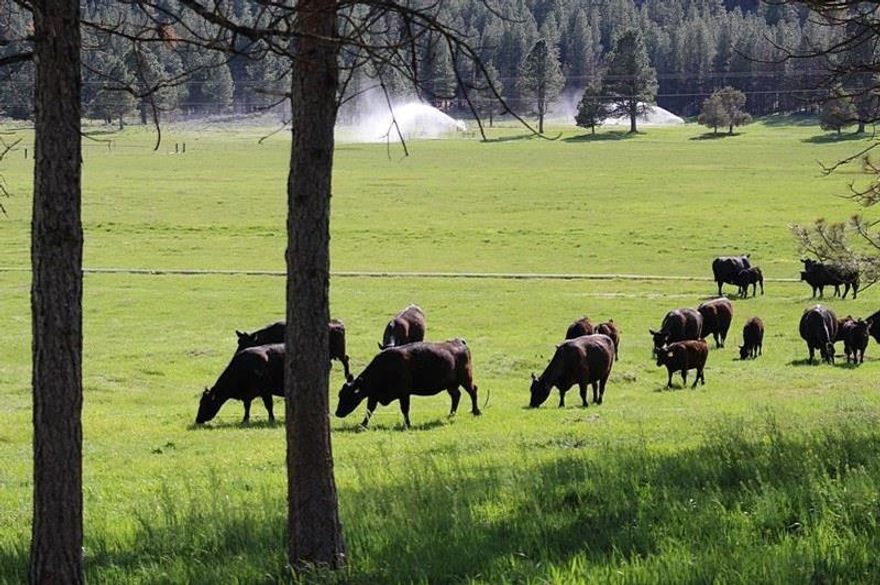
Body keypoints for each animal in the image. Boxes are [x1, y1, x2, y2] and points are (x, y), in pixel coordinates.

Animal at [336, 338, 479, 428]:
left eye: (349, 396)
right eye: (340, 395)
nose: (337, 413)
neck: (386, 367)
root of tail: (458, 341)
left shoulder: (404, 393)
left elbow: (405, 409)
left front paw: (408, 425)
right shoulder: (374, 395)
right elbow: (369, 410)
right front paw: (363, 424)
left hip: (466, 378)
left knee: (473, 391)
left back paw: (476, 411)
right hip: (451, 385)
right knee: (456, 396)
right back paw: (451, 415)